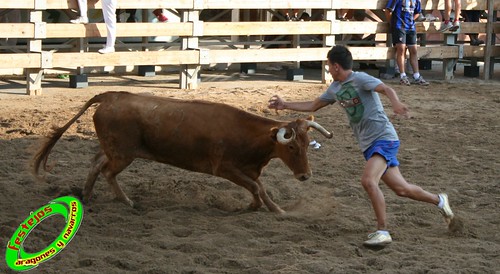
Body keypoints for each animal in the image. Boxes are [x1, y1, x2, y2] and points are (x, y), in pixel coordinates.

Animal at [32, 91, 332, 213]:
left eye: (308, 144)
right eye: (291, 146)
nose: (305, 176)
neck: (249, 135)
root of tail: (110, 96)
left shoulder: (247, 170)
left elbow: (261, 187)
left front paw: (272, 208)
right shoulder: (225, 168)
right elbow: (257, 188)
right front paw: (258, 207)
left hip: (114, 150)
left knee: (95, 163)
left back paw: (87, 195)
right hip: (123, 155)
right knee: (107, 172)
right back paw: (127, 202)